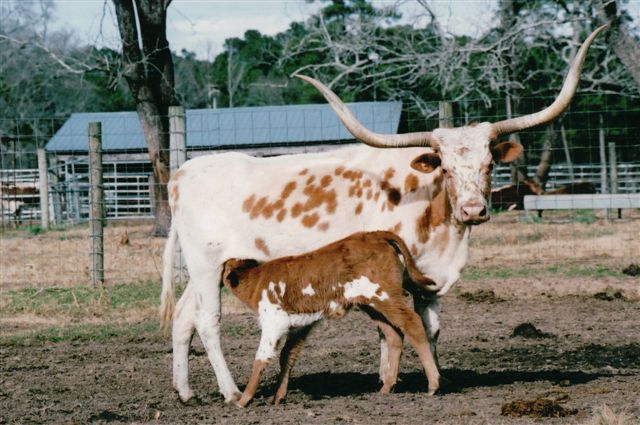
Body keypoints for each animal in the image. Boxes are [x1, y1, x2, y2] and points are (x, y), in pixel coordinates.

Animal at [160, 25, 606, 403]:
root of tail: (182, 173)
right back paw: (231, 392)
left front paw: (435, 377)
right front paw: (387, 380)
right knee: (207, 321)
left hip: (209, 267)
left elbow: (429, 328)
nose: (473, 209)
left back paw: (185, 392)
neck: (436, 220)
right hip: (205, 264)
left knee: (182, 318)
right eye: (445, 167)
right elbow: (388, 330)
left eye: (489, 164)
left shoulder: (427, 279)